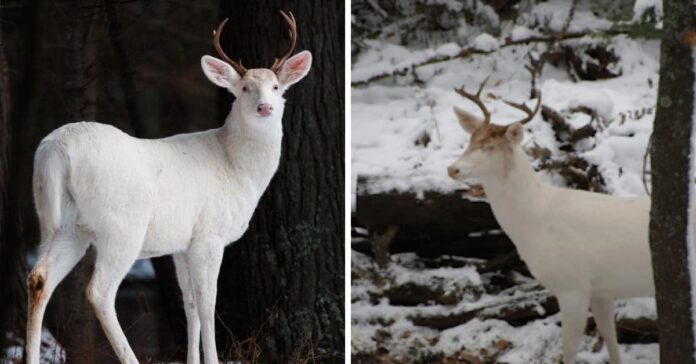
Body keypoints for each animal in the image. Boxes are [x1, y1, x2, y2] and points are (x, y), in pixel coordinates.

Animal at [25, 12, 312, 364]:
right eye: (245, 88)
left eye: (276, 87)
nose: (265, 107)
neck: (236, 167)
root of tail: (58, 149)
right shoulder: (209, 235)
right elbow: (207, 301)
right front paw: (213, 359)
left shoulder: (181, 245)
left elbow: (188, 303)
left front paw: (192, 360)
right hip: (121, 226)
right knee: (99, 291)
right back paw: (130, 357)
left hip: (62, 224)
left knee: (39, 278)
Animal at [446, 79, 676, 364]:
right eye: (470, 141)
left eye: (489, 148)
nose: (453, 169)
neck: (535, 223)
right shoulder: (600, 288)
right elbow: (611, 341)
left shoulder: (572, 284)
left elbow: (569, 350)